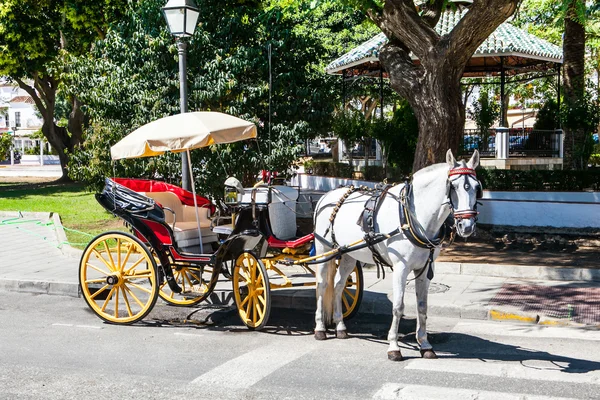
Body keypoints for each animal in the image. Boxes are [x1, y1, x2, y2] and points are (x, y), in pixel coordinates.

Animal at [312, 148, 480, 360]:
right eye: (453, 186)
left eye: (476, 187)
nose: (467, 226)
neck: (412, 216)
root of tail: (326, 197)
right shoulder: (401, 268)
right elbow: (398, 306)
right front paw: (394, 346)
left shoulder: (425, 269)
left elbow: (422, 306)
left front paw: (425, 344)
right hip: (324, 249)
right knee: (322, 284)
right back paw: (320, 328)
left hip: (349, 255)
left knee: (338, 285)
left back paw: (340, 326)